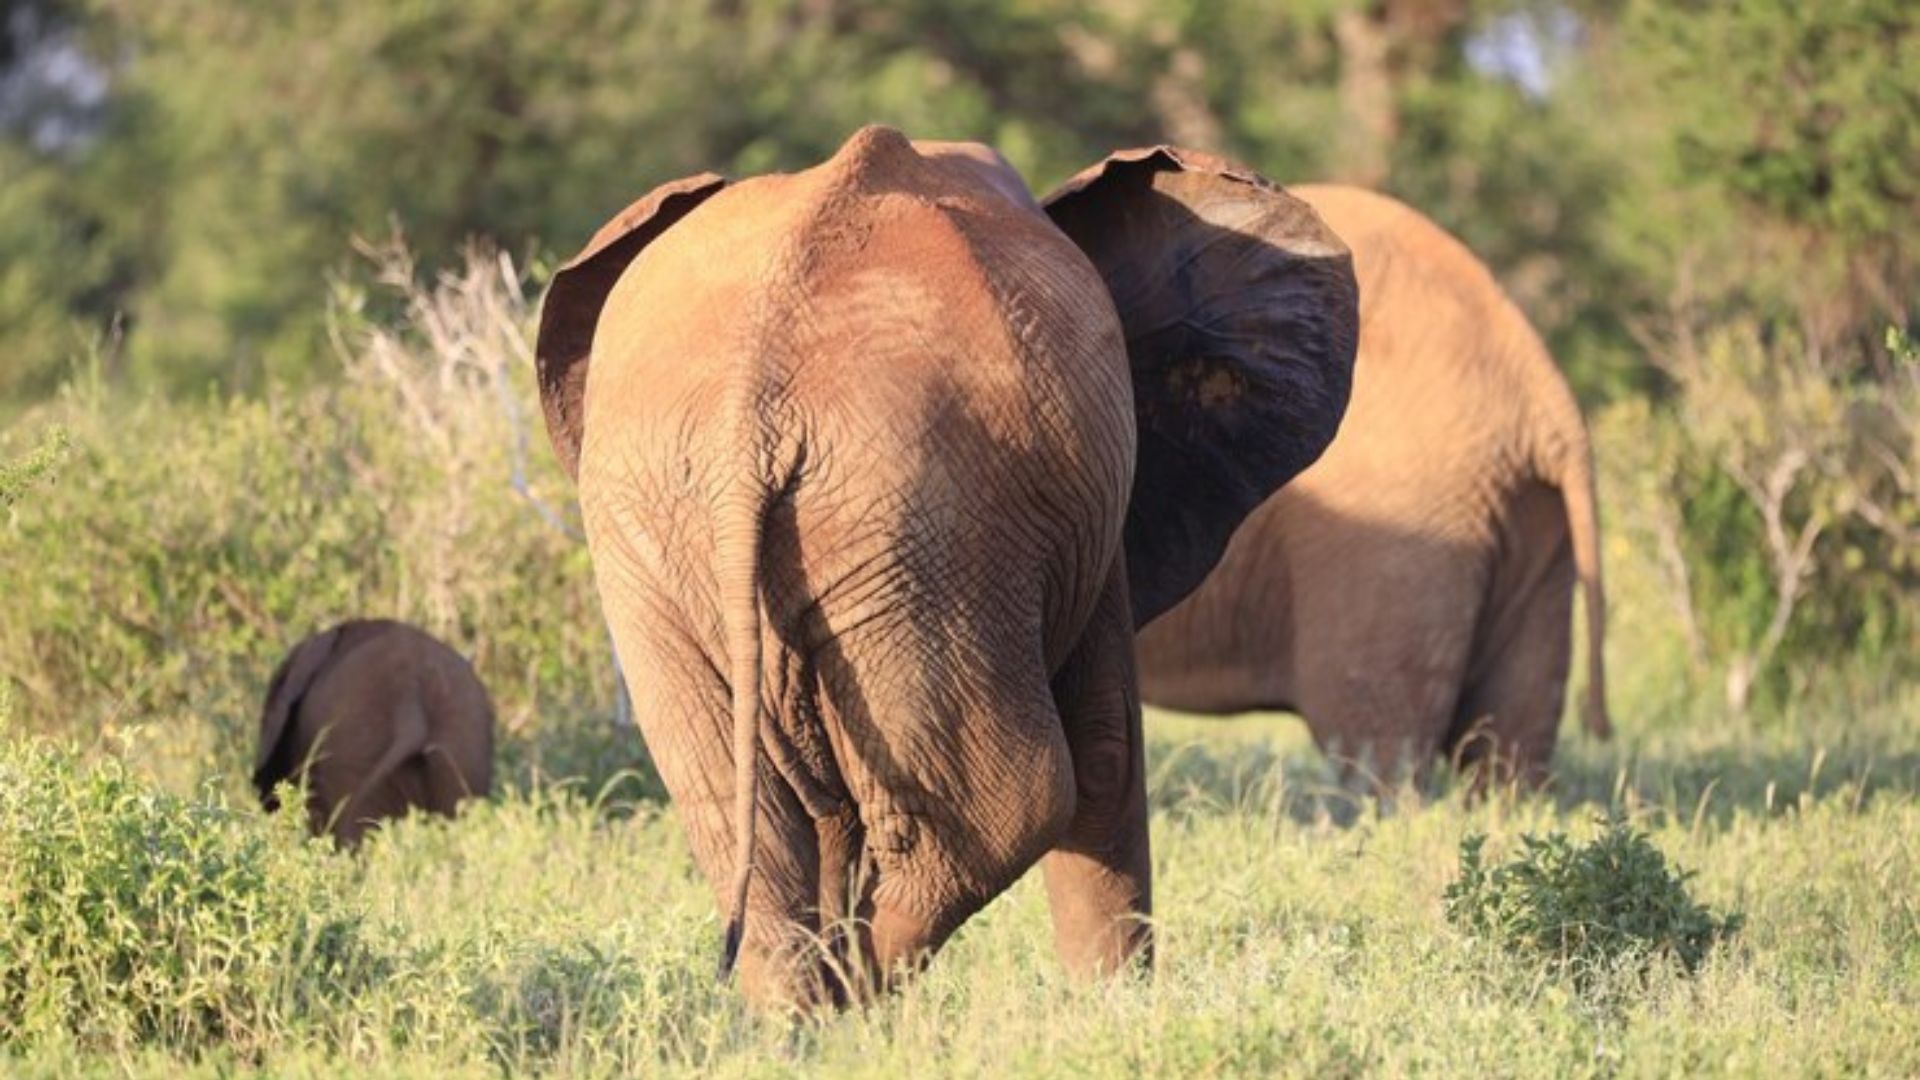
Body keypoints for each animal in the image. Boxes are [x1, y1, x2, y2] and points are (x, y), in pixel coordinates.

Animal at [533, 127, 1359, 1006]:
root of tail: (748, 408)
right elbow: (1107, 753)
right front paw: (1113, 1013)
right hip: (923, 520)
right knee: (1013, 803)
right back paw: (854, 1001)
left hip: (677, 531)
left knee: (736, 816)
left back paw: (808, 1016)